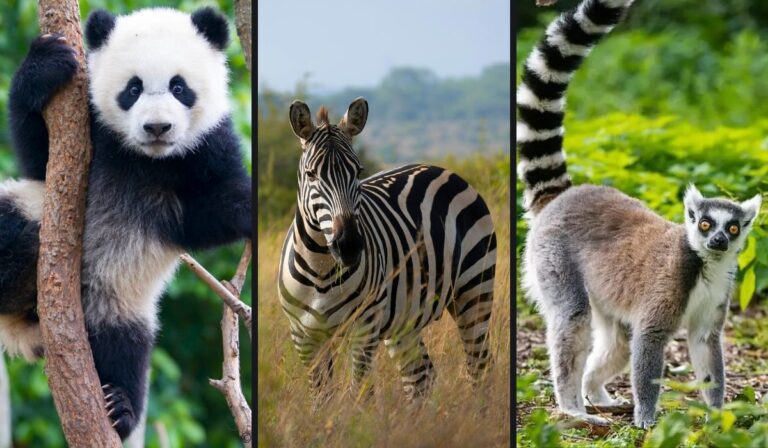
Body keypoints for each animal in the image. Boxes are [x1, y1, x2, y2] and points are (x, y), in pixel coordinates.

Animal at [0, 6, 251, 439]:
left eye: (179, 87)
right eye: (132, 89)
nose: (157, 128)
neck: (146, 159)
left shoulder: (210, 146)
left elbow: (212, 212)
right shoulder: (88, 131)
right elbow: (37, 155)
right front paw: (46, 63)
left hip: (118, 303)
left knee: (123, 348)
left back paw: (119, 407)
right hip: (23, 211)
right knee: (13, 226)